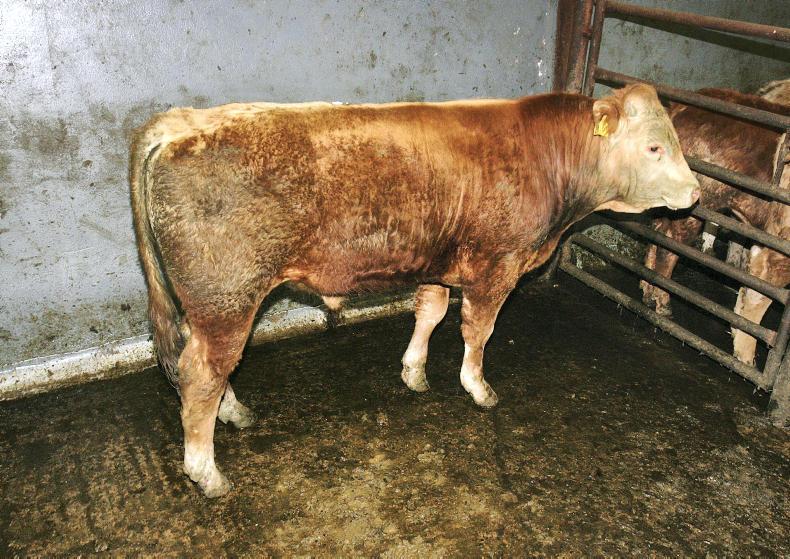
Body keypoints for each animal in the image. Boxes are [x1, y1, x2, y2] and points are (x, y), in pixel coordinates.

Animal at [130, 84, 699, 497]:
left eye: (674, 138)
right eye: (653, 146)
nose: (695, 191)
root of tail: (181, 122)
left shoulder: (438, 261)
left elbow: (430, 311)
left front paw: (415, 371)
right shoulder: (498, 266)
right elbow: (478, 331)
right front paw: (477, 387)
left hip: (208, 305)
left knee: (203, 362)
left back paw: (233, 413)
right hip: (228, 297)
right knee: (202, 372)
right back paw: (207, 472)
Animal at [640, 88, 790, 366]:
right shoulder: (780, 251)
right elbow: (761, 296)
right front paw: (746, 360)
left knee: (656, 231)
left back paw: (647, 289)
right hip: (694, 202)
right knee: (670, 245)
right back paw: (663, 305)